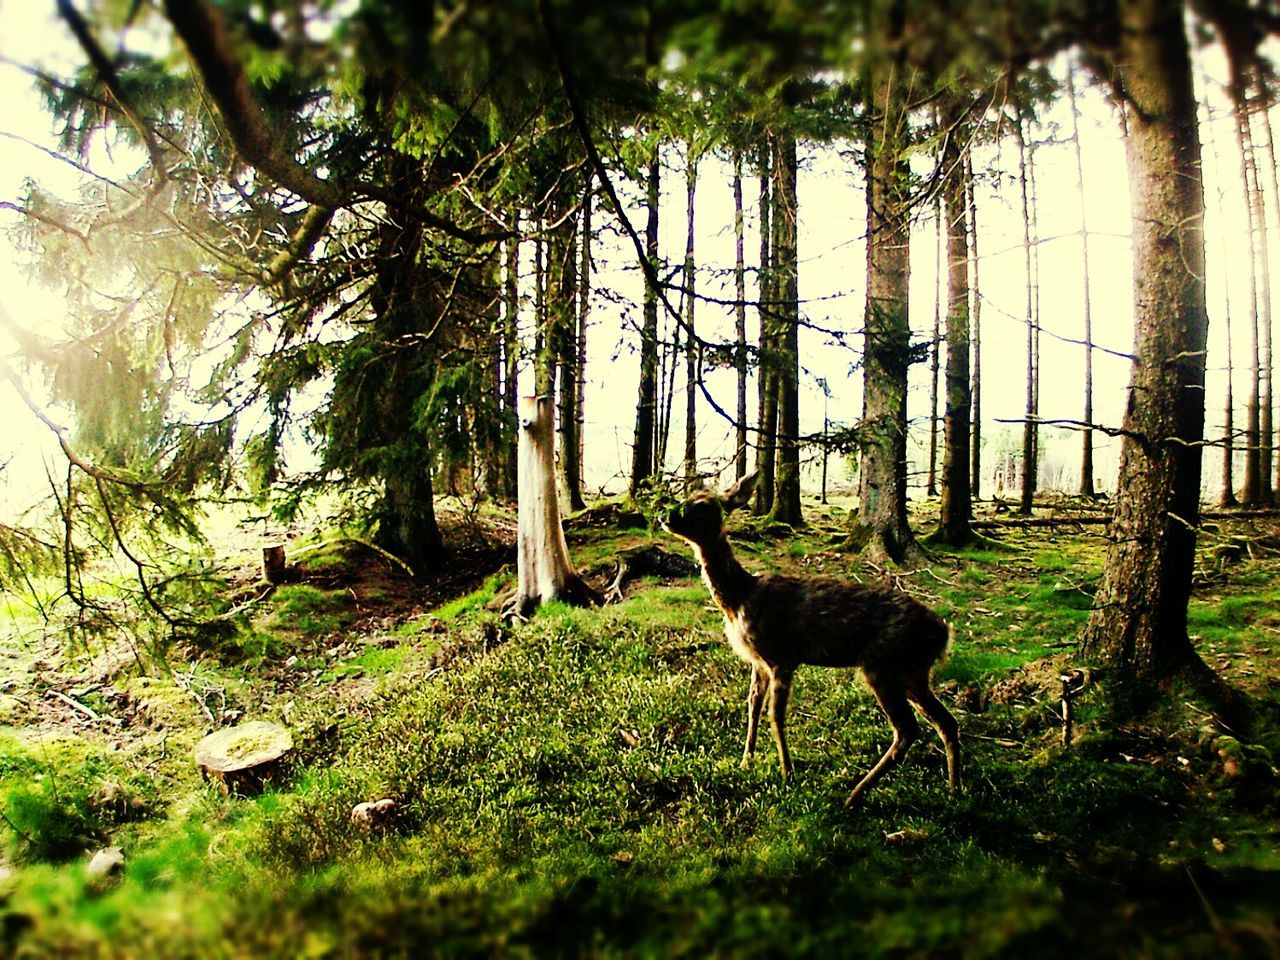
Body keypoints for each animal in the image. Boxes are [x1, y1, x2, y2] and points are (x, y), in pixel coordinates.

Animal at [660, 473, 962, 803]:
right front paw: (746, 760)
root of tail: (944, 633)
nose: (666, 514)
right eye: (689, 496)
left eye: (702, 505)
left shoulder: (782, 656)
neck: (739, 598)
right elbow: (753, 705)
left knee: (907, 729)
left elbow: (775, 715)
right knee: (946, 721)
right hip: (912, 672)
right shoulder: (758, 662)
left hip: (882, 663)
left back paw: (854, 795)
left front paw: (787, 774)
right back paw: (954, 790)